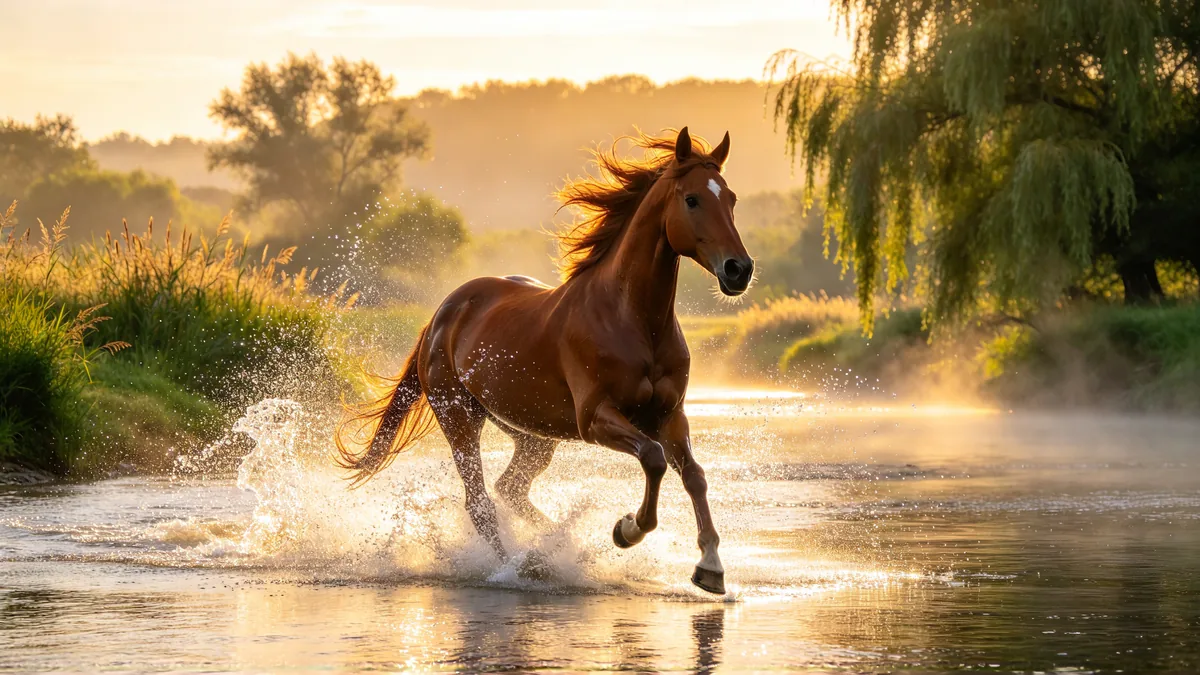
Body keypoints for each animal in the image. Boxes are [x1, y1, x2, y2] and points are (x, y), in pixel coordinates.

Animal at [335, 128, 753, 594]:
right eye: (692, 199)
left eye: (731, 198)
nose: (739, 270)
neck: (632, 318)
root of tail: (442, 315)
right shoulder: (596, 418)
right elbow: (654, 458)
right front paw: (626, 530)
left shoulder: (669, 414)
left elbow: (694, 474)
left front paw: (711, 567)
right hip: (459, 418)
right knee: (480, 502)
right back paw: (516, 567)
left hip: (531, 432)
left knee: (510, 488)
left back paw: (549, 550)